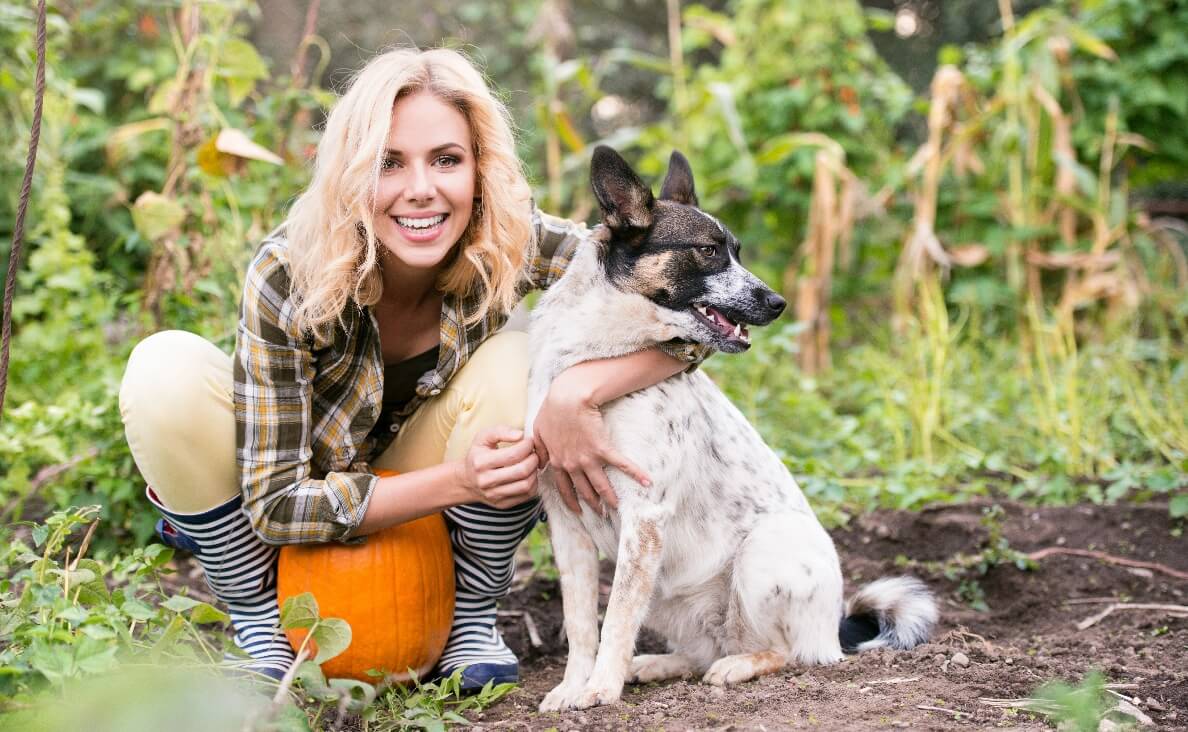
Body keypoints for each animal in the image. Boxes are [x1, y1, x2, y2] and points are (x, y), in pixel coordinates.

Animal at [527, 145, 936, 712]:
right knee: (701, 649)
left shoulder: (644, 515)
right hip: (667, 589)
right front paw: (573, 688)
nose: (779, 302)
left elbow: (616, 621)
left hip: (761, 553)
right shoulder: (567, 523)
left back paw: (736, 665)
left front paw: (601, 689)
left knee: (781, 652)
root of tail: (833, 629)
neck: (594, 356)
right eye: (707, 250)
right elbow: (584, 623)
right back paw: (655, 664)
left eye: (737, 251)